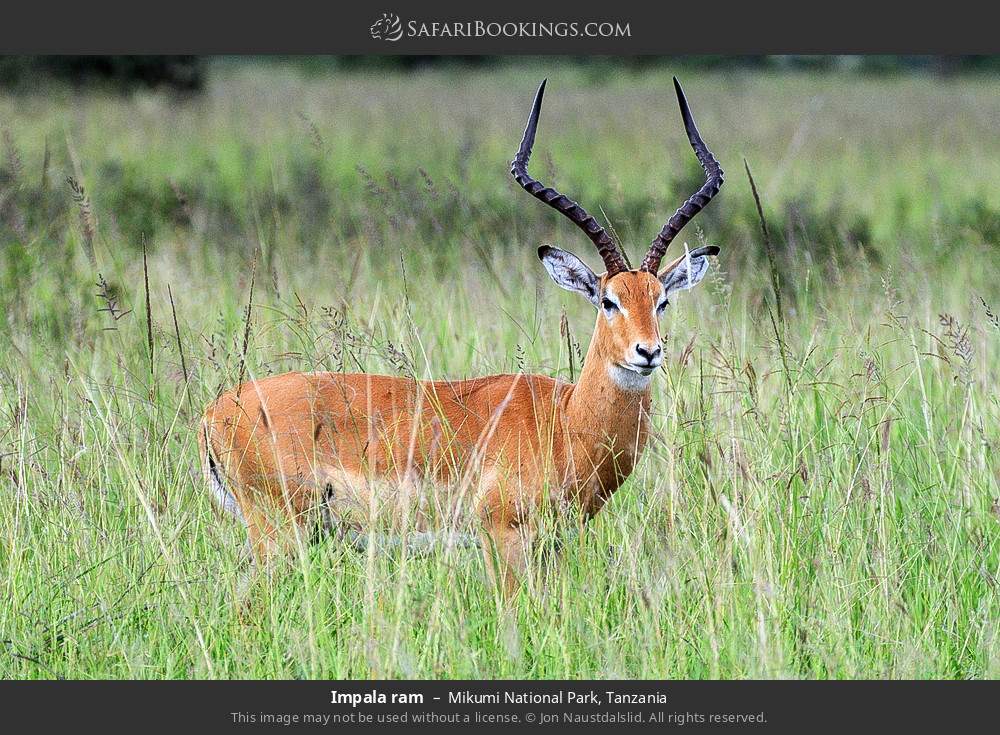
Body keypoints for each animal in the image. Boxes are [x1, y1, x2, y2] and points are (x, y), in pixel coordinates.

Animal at [200, 78, 724, 596]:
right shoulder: (501, 535)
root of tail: (215, 411)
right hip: (279, 533)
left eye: (661, 300)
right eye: (608, 301)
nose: (648, 352)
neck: (566, 419)